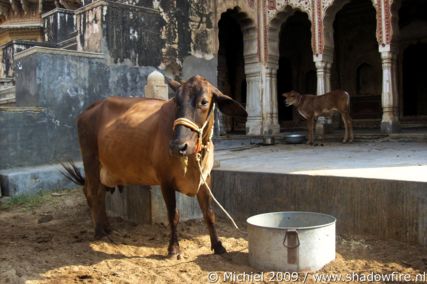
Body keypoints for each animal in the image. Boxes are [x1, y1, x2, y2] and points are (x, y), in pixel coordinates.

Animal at [65, 75, 249, 258]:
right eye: (176, 101)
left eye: (204, 102)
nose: (178, 146)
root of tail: (91, 108)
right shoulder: (165, 180)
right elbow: (173, 215)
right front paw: (173, 248)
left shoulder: (205, 179)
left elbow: (209, 213)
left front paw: (218, 246)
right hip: (91, 160)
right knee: (93, 192)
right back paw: (99, 232)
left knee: (99, 193)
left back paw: (107, 228)